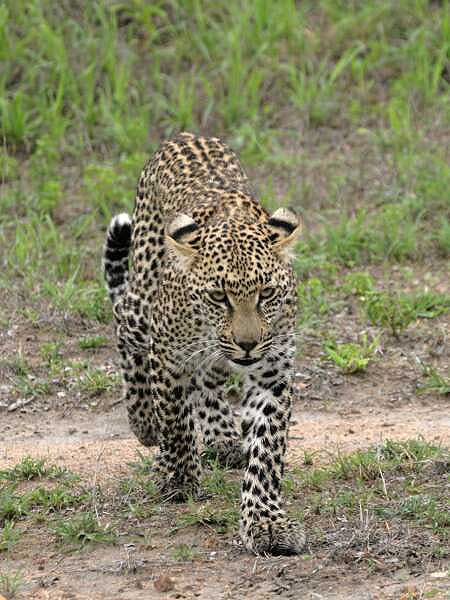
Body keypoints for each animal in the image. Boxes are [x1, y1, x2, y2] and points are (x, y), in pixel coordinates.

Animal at [103, 134, 306, 556]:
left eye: (266, 294)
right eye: (218, 296)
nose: (247, 344)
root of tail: (183, 136)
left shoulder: (273, 369)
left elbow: (267, 449)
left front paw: (265, 521)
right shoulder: (169, 354)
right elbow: (176, 419)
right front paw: (178, 477)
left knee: (209, 380)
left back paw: (223, 436)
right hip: (141, 305)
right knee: (123, 322)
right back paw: (144, 421)